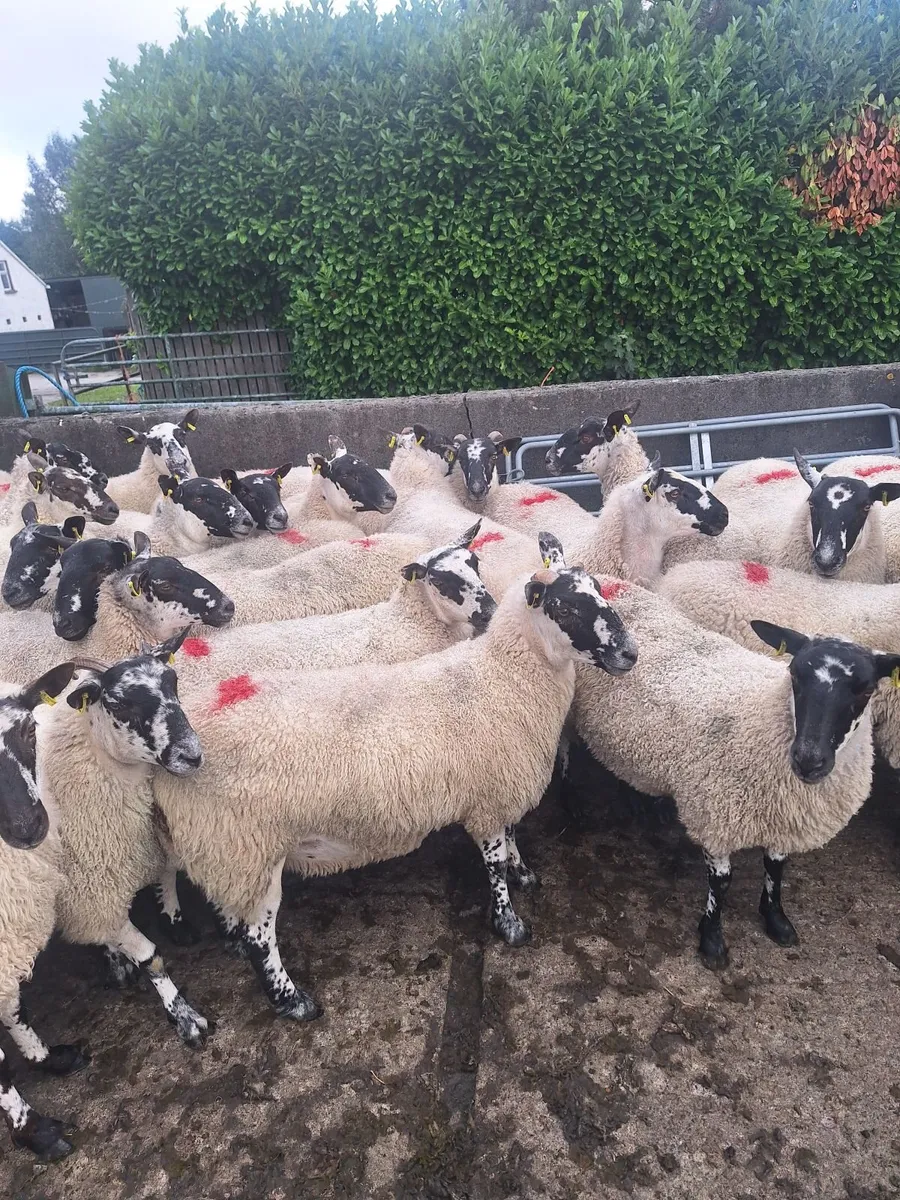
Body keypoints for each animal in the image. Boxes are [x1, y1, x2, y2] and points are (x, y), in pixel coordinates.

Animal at [153, 565, 638, 1019]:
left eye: (600, 593)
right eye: (566, 609)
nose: (630, 654)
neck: (505, 675)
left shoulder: (499, 788)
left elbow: (513, 836)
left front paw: (524, 874)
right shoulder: (487, 800)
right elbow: (495, 866)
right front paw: (510, 924)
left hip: (222, 850)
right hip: (248, 848)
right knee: (260, 938)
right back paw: (293, 1002)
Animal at [568, 574, 892, 968]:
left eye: (866, 689)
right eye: (794, 673)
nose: (808, 759)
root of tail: (609, 580)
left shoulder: (781, 818)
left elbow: (776, 868)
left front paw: (776, 920)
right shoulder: (715, 813)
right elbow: (721, 883)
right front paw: (712, 941)